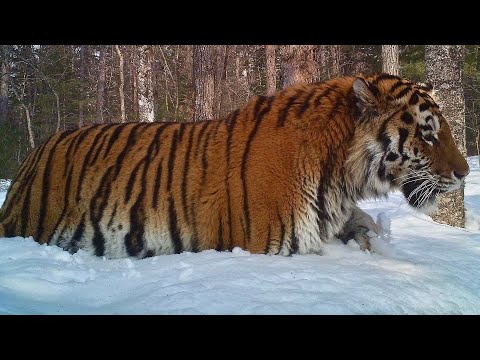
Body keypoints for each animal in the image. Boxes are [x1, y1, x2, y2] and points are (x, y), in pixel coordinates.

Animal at [0, 74, 468, 258]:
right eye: (428, 133)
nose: (464, 174)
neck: (342, 176)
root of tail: (30, 158)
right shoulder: (268, 245)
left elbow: (363, 229)